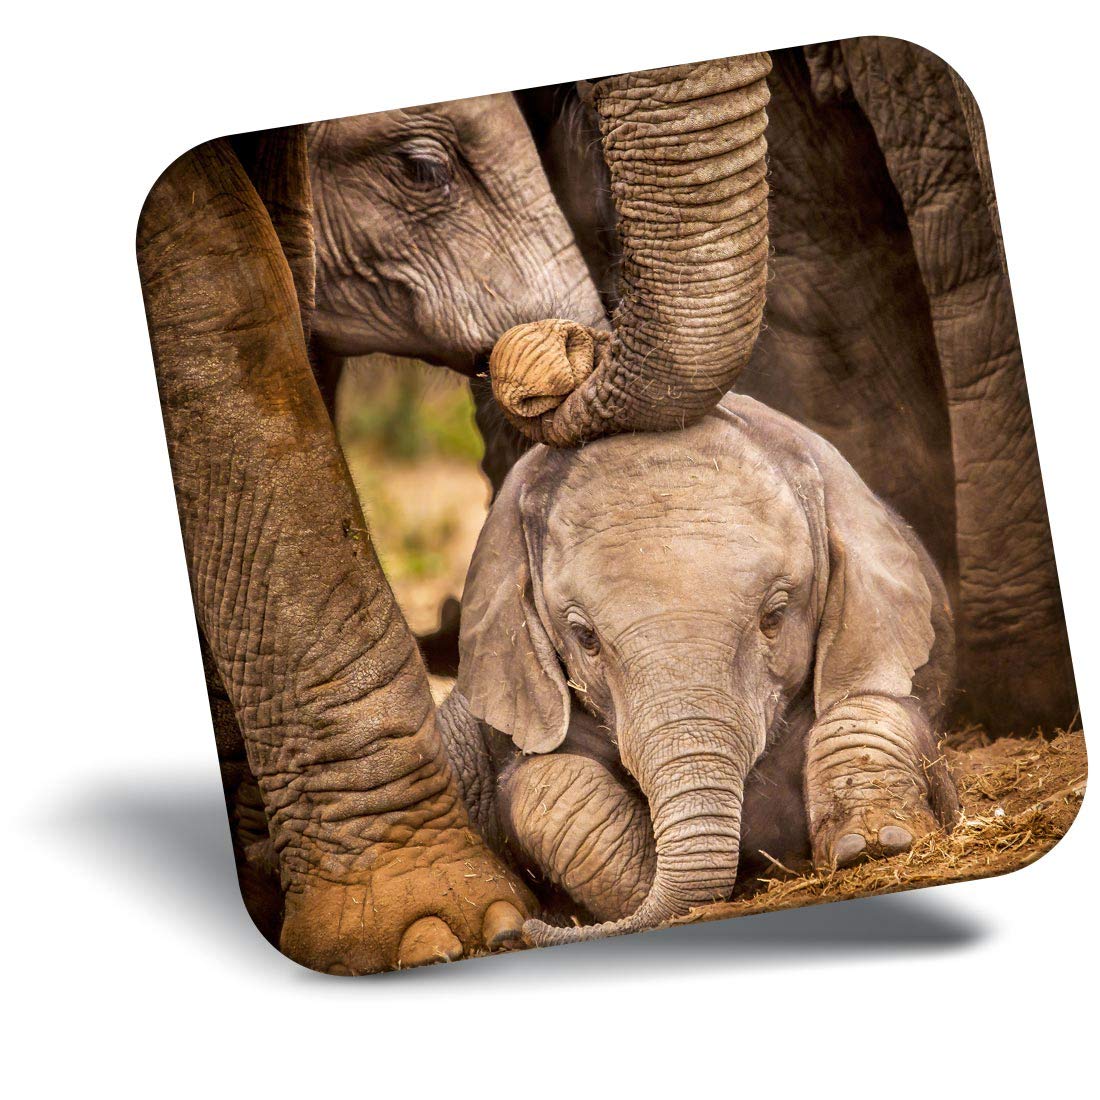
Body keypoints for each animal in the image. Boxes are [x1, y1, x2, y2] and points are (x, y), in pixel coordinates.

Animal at [438, 392, 960, 945]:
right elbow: (549, 780)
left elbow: (867, 707)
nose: (516, 934)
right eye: (585, 638)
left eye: (773, 617)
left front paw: (875, 844)